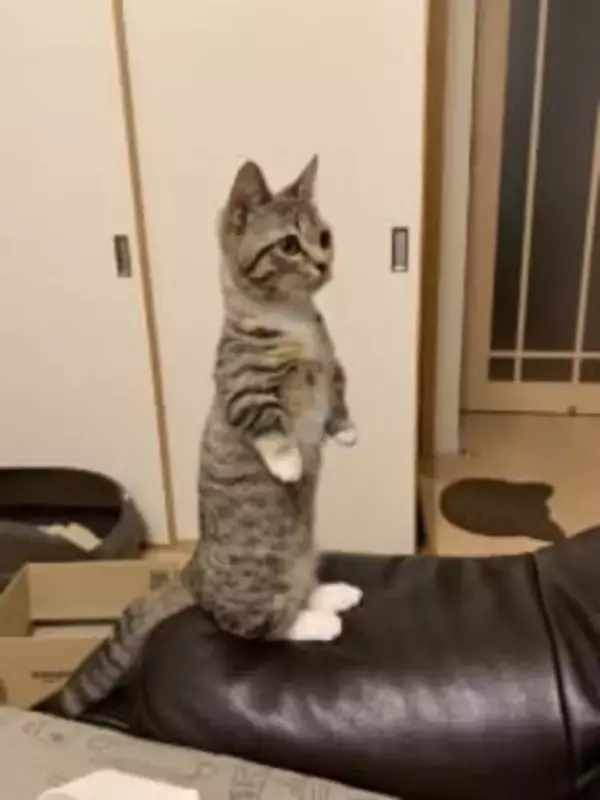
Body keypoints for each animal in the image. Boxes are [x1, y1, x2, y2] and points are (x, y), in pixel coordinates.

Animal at [49, 156, 362, 718]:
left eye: (324, 235)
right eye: (289, 245)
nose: (324, 263)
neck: (297, 322)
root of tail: (192, 568)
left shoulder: (334, 369)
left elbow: (339, 396)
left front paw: (345, 430)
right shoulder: (243, 385)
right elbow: (267, 422)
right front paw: (288, 461)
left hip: (305, 549)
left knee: (300, 587)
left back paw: (330, 594)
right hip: (261, 574)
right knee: (256, 624)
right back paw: (316, 621)